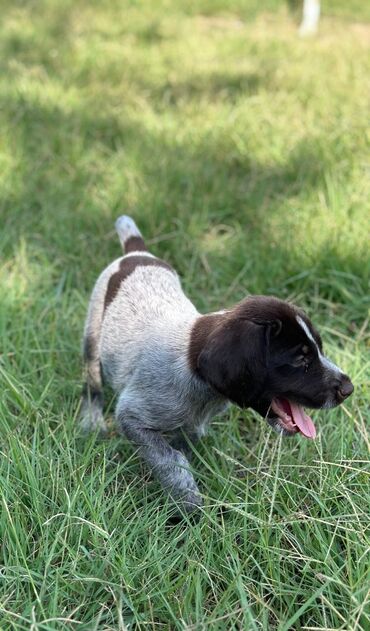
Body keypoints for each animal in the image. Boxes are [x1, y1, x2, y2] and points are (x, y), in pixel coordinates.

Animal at [81, 217, 352, 512]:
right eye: (300, 358)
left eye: (319, 350)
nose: (348, 388)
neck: (196, 375)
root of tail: (136, 253)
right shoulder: (132, 417)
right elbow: (170, 459)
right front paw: (188, 503)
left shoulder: (191, 425)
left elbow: (182, 443)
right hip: (92, 334)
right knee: (91, 384)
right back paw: (91, 421)